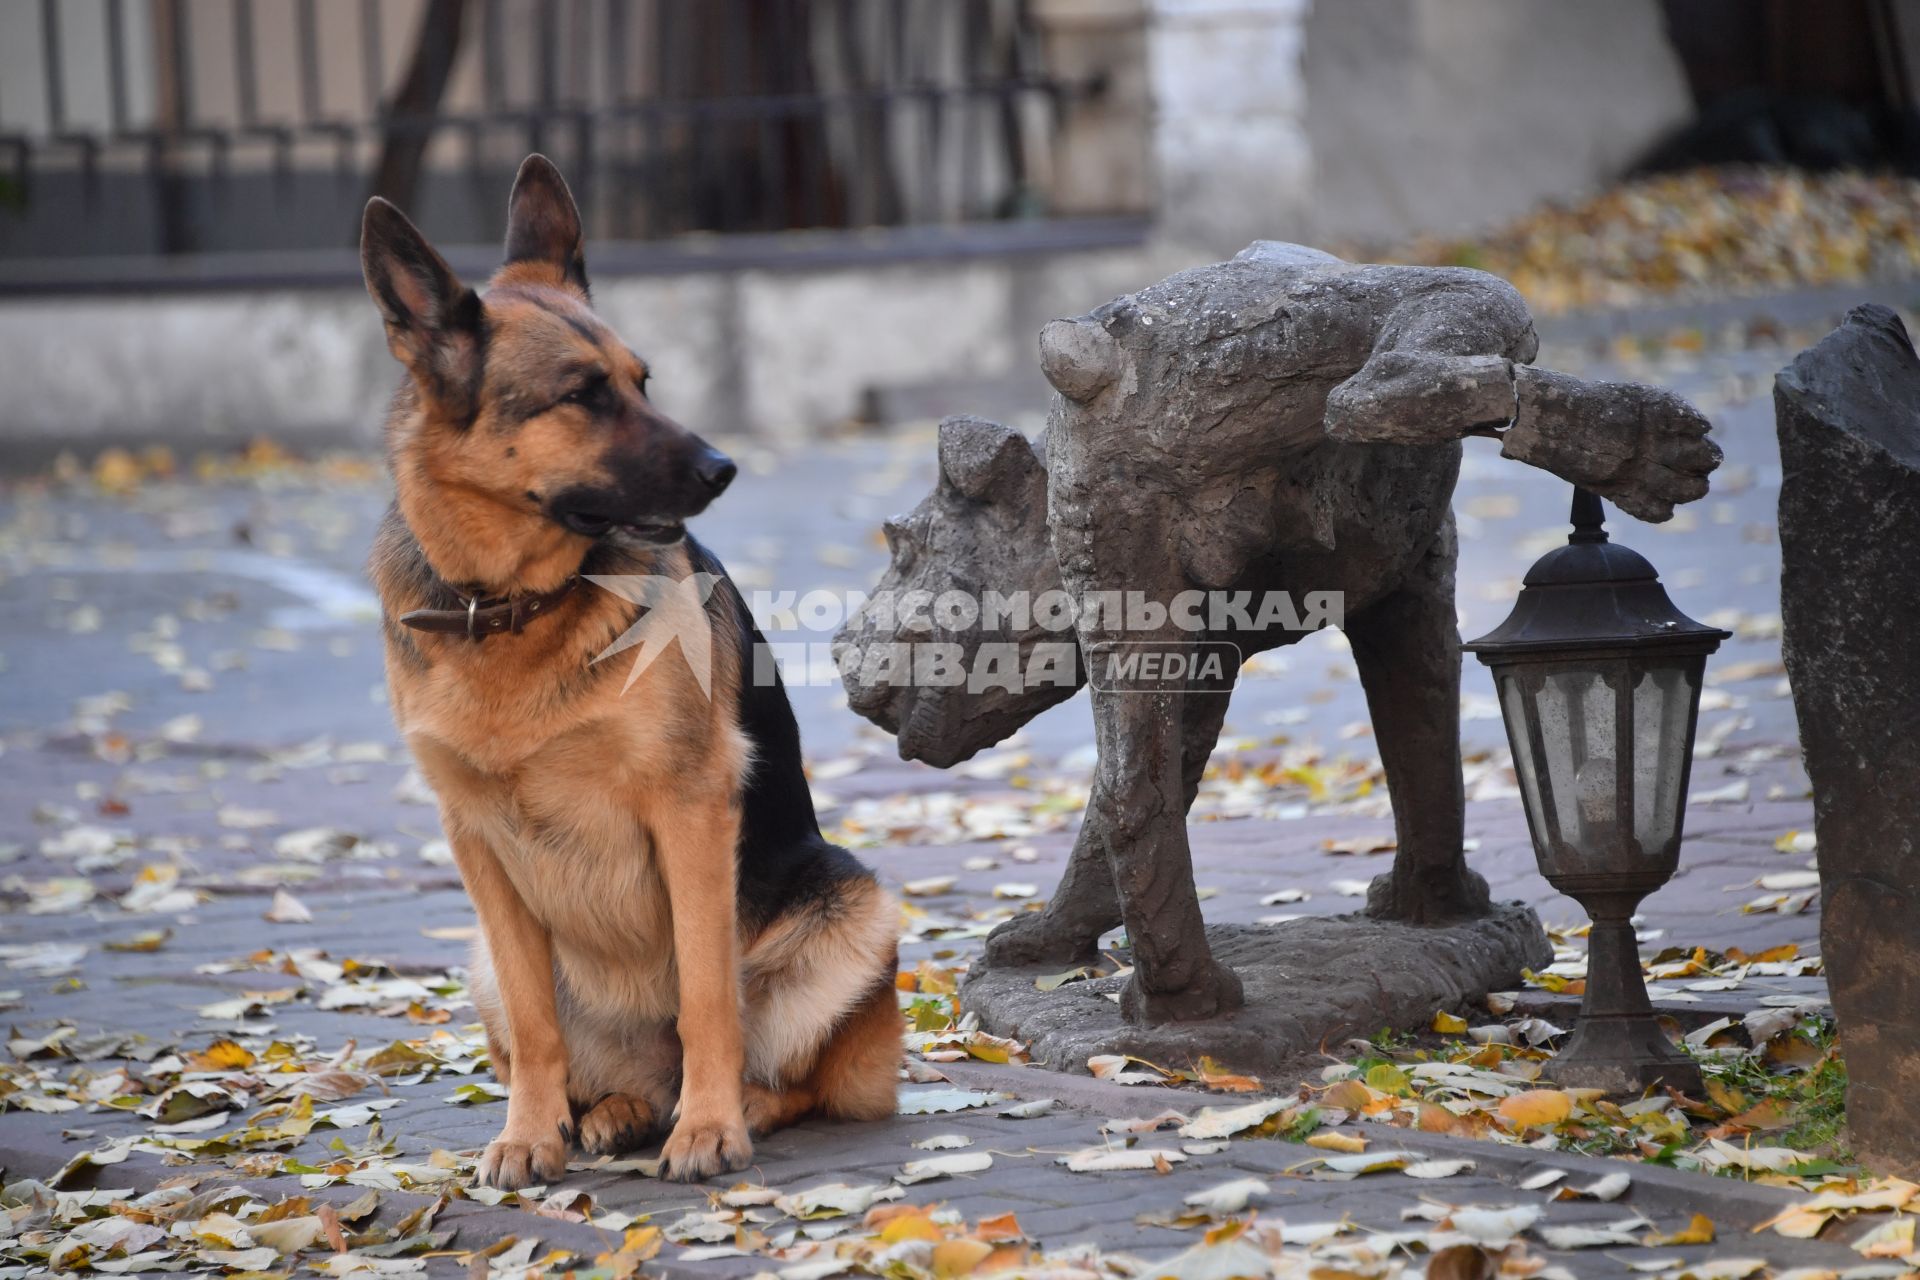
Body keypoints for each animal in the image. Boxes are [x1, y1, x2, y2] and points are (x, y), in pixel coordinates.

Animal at [362, 160, 902, 1189]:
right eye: (581, 395)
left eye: (643, 381)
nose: (724, 468)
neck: (512, 607)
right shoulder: (476, 841)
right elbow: (536, 1022)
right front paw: (530, 1135)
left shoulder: (688, 806)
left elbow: (706, 995)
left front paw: (711, 1128)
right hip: (479, 960)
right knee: (599, 1064)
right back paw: (610, 1113)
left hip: (854, 912)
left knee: (791, 1074)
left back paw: (724, 1109)